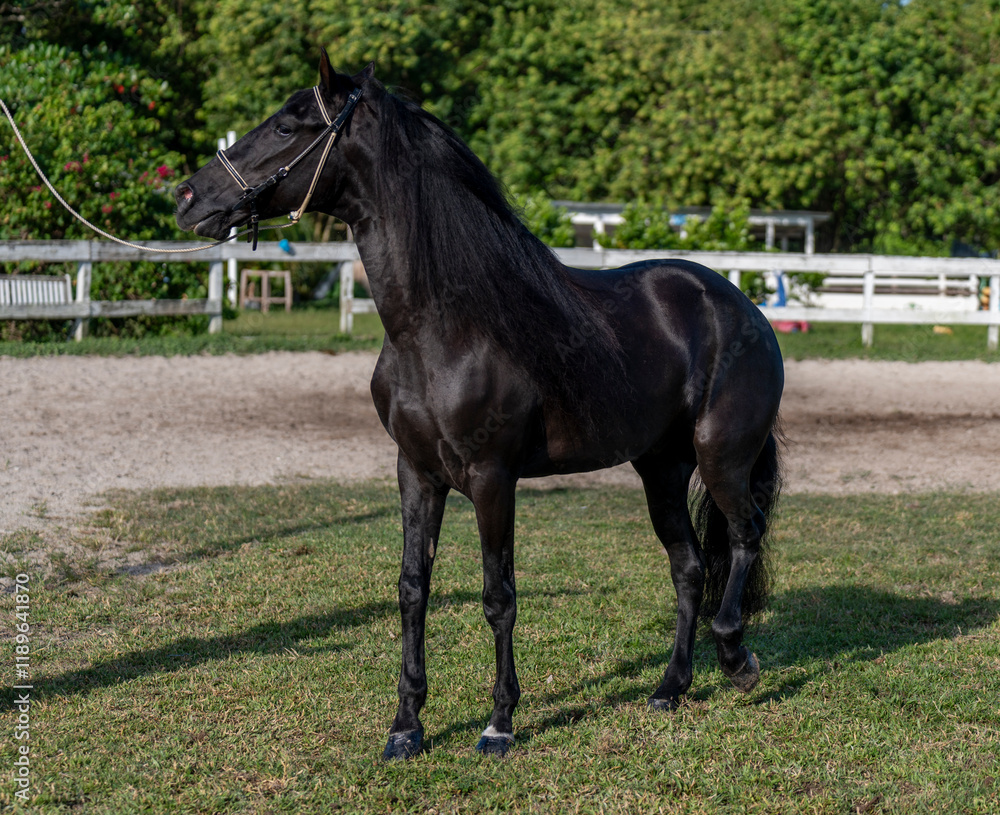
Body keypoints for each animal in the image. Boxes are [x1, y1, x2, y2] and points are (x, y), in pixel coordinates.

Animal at [175, 51, 784, 761]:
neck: (441, 330)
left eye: (285, 125)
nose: (187, 197)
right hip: (659, 467)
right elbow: (413, 590)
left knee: (743, 538)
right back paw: (670, 688)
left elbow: (499, 595)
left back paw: (737, 659)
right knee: (688, 567)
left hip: (721, 459)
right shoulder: (416, 473)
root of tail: (739, 304)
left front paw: (499, 723)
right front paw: (406, 726)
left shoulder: (494, 479)